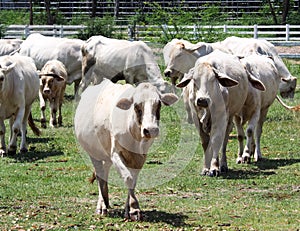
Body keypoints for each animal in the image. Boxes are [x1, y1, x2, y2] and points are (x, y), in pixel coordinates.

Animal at [74, 79, 178, 220]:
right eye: (136, 105)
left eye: (159, 104)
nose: (151, 130)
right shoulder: (116, 154)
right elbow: (128, 178)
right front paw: (134, 207)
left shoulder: (140, 157)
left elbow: (133, 181)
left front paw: (129, 209)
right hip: (93, 153)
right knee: (101, 176)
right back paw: (102, 206)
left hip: (106, 155)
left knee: (105, 173)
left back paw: (106, 201)